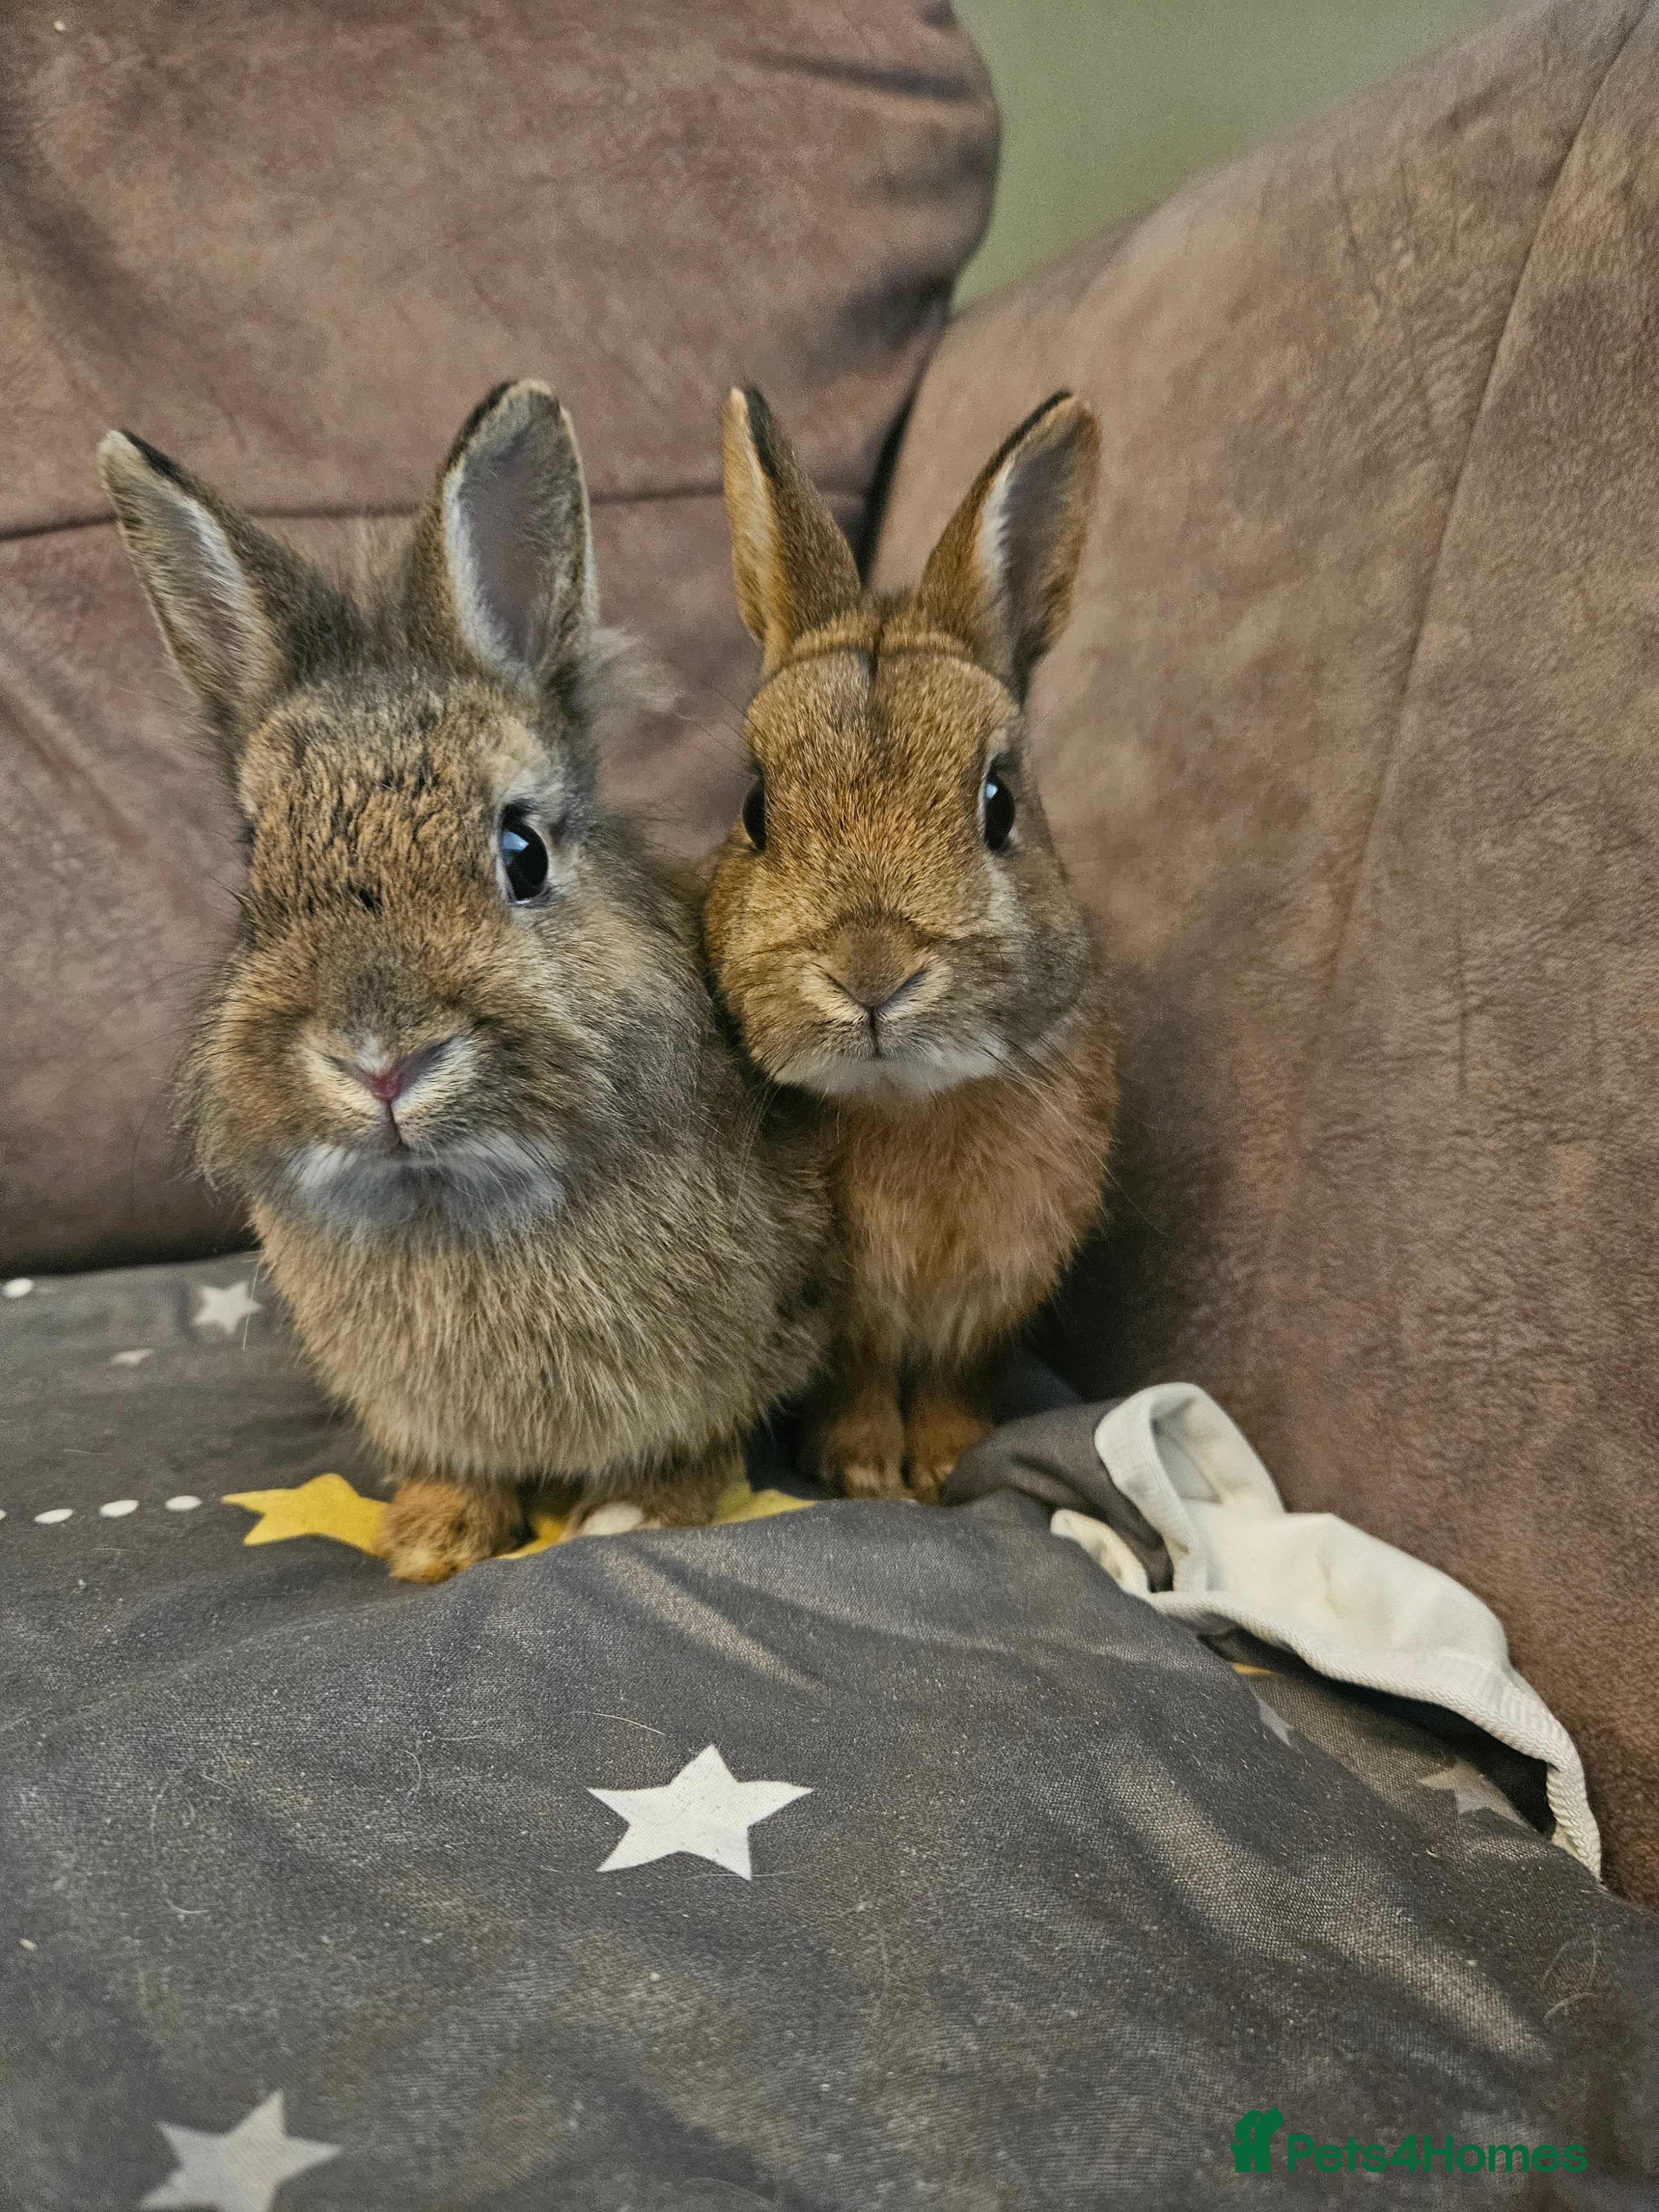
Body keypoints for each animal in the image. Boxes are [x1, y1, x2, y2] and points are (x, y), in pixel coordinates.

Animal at [100, 381, 837, 1582]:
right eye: (256, 870)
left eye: (523, 852)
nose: (379, 1060)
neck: (454, 1192)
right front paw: (432, 1541)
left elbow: (695, 1445)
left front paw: (632, 1514)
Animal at [702, 388, 1117, 1504]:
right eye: (755, 811)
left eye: (999, 804)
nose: (871, 975)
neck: (908, 1106)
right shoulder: (846, 1318)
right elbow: (857, 1378)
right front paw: (861, 1470)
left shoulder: (1000, 1292)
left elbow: (955, 1381)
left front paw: (942, 1462)